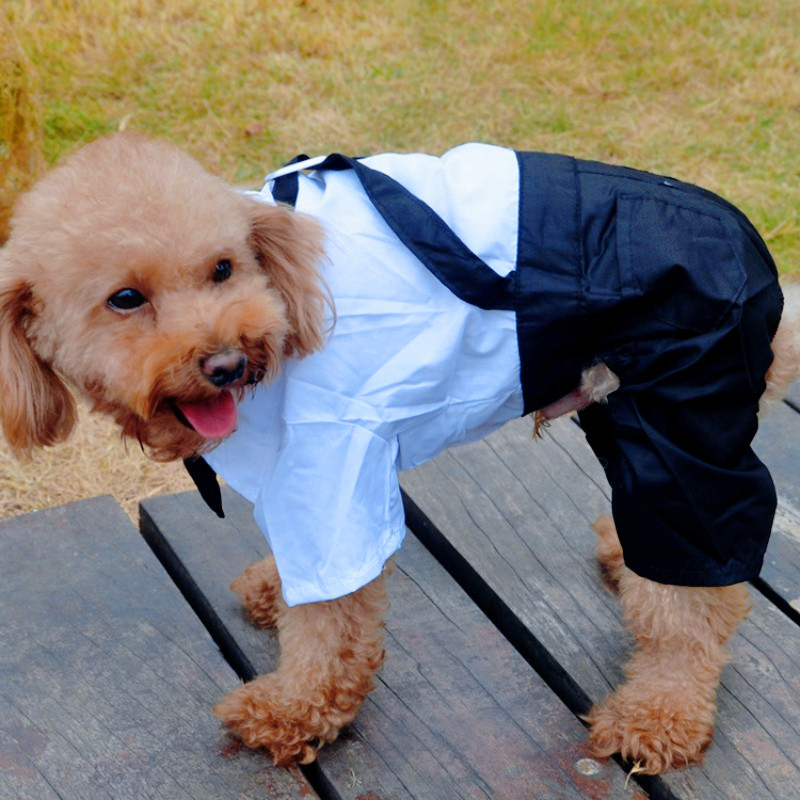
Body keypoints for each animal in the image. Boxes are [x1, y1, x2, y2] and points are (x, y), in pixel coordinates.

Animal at [1, 131, 798, 774]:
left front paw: (292, 708)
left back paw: (657, 716)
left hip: (682, 415)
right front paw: (276, 589)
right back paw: (623, 555)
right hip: (620, 402)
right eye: (125, 299)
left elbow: (332, 626)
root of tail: (750, 241)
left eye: (223, 269)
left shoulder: (332, 457)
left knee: (694, 598)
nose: (227, 363)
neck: (288, 292)